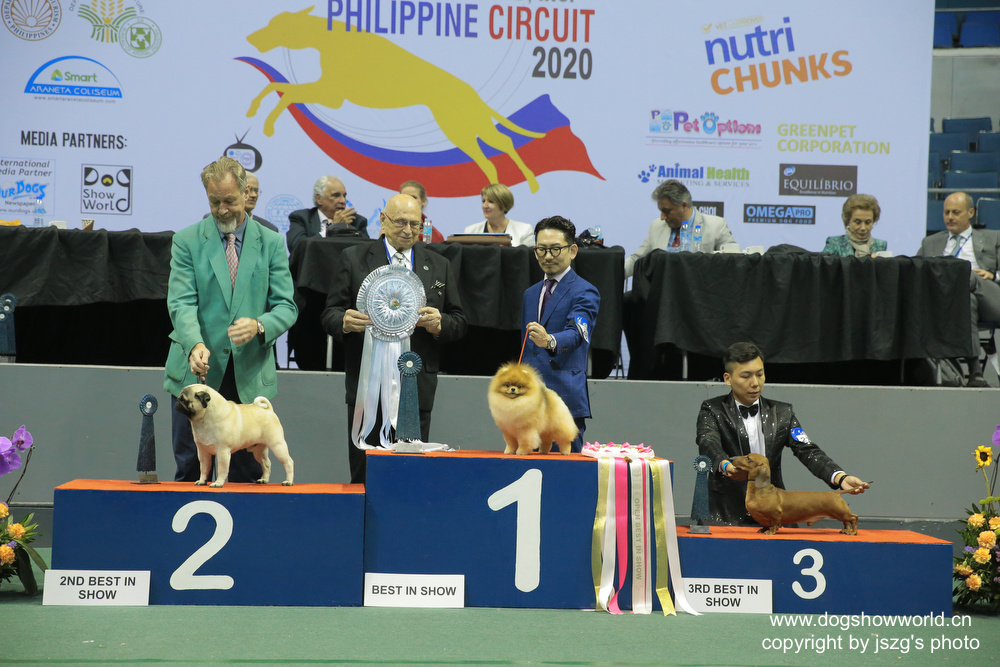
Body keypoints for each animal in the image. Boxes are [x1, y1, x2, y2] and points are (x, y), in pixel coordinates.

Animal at [245, 8, 545, 191]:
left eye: (275, 25)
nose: (250, 36)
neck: (327, 40)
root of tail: (472, 92)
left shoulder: (332, 95)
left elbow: (283, 89)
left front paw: (265, 120)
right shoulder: (328, 93)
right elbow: (278, 86)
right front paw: (257, 111)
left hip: (461, 129)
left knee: (500, 148)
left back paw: (525, 184)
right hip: (468, 129)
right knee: (496, 154)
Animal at [729, 453, 859, 535]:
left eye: (748, 458)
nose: (730, 458)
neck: (759, 491)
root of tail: (836, 493)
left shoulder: (775, 514)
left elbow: (774, 523)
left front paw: (770, 532)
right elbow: (765, 524)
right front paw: (763, 529)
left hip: (840, 512)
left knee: (853, 518)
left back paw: (853, 532)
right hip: (840, 513)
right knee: (846, 522)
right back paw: (845, 530)